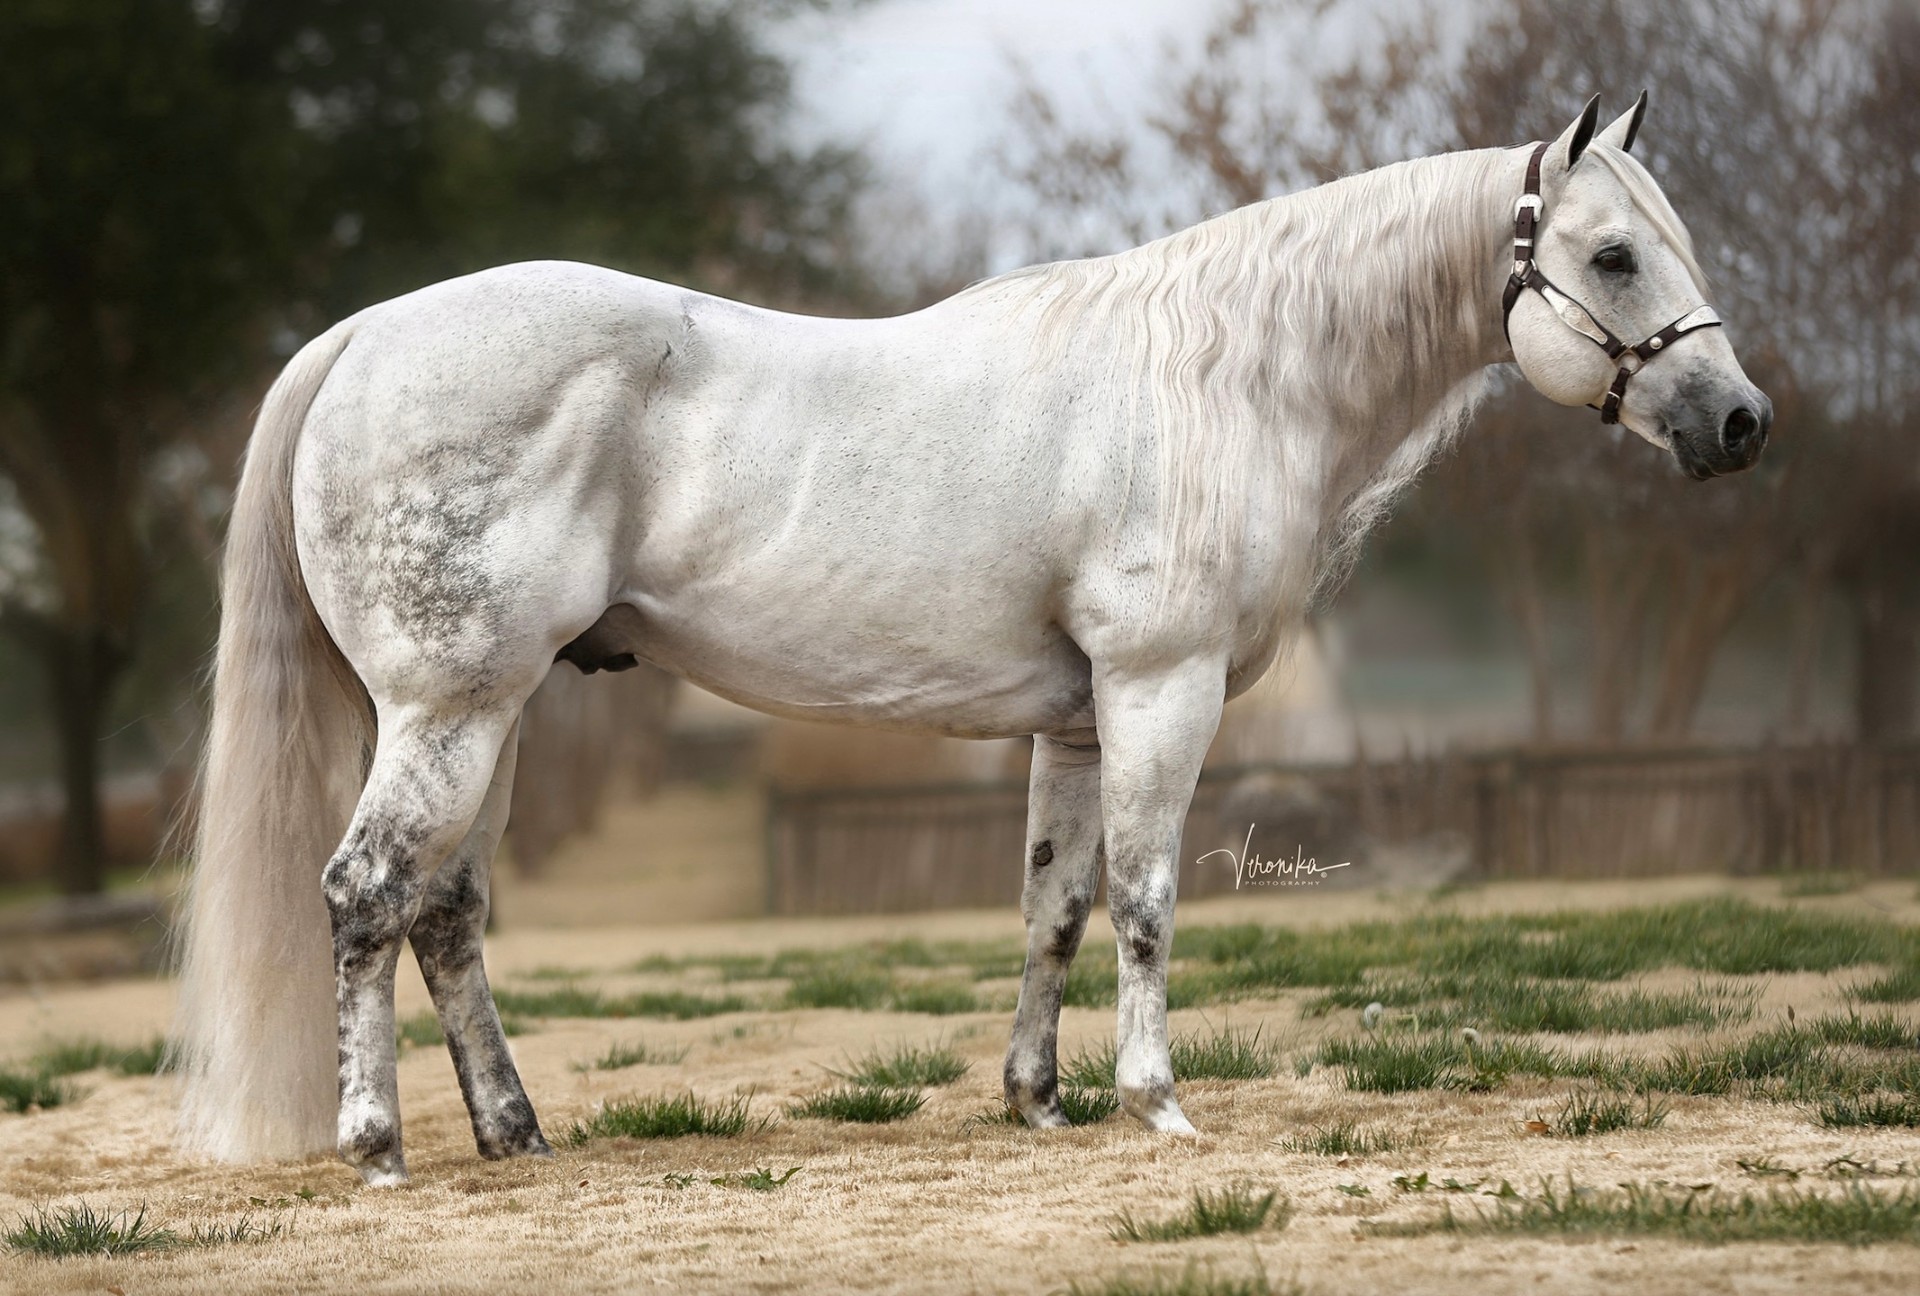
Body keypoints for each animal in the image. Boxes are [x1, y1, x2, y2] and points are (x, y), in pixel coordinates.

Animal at [172, 93, 1770, 1185]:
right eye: (1612, 256)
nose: (1741, 424)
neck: (1224, 378)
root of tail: (365, 335)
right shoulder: (1161, 692)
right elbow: (1146, 900)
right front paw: (1157, 1103)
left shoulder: (1075, 721)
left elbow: (1052, 908)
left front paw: (1038, 1098)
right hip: (447, 708)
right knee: (363, 895)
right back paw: (377, 1148)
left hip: (492, 713)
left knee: (444, 913)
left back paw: (518, 1134)